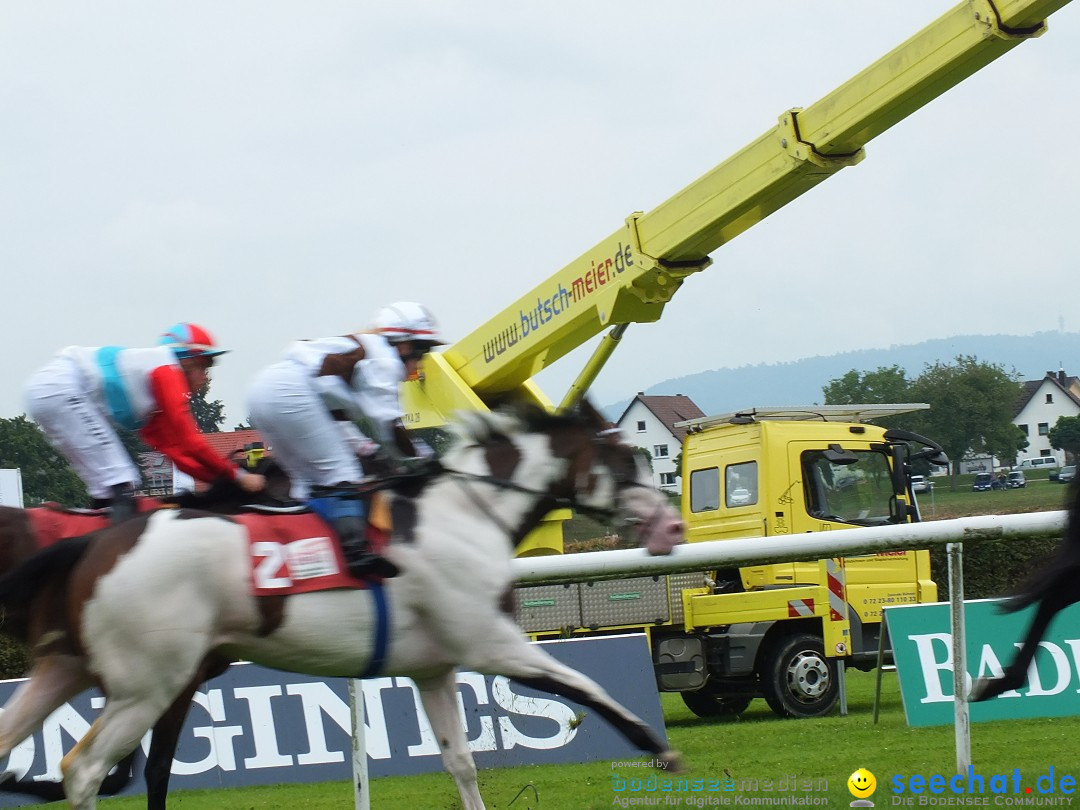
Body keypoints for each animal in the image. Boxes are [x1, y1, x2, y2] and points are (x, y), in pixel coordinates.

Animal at [0, 406, 682, 810]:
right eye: (623, 459)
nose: (671, 525)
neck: (465, 513)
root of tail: (93, 543)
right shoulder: (490, 642)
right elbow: (586, 687)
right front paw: (660, 748)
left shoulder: (434, 667)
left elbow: (461, 761)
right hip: (150, 682)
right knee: (84, 768)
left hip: (70, 668)